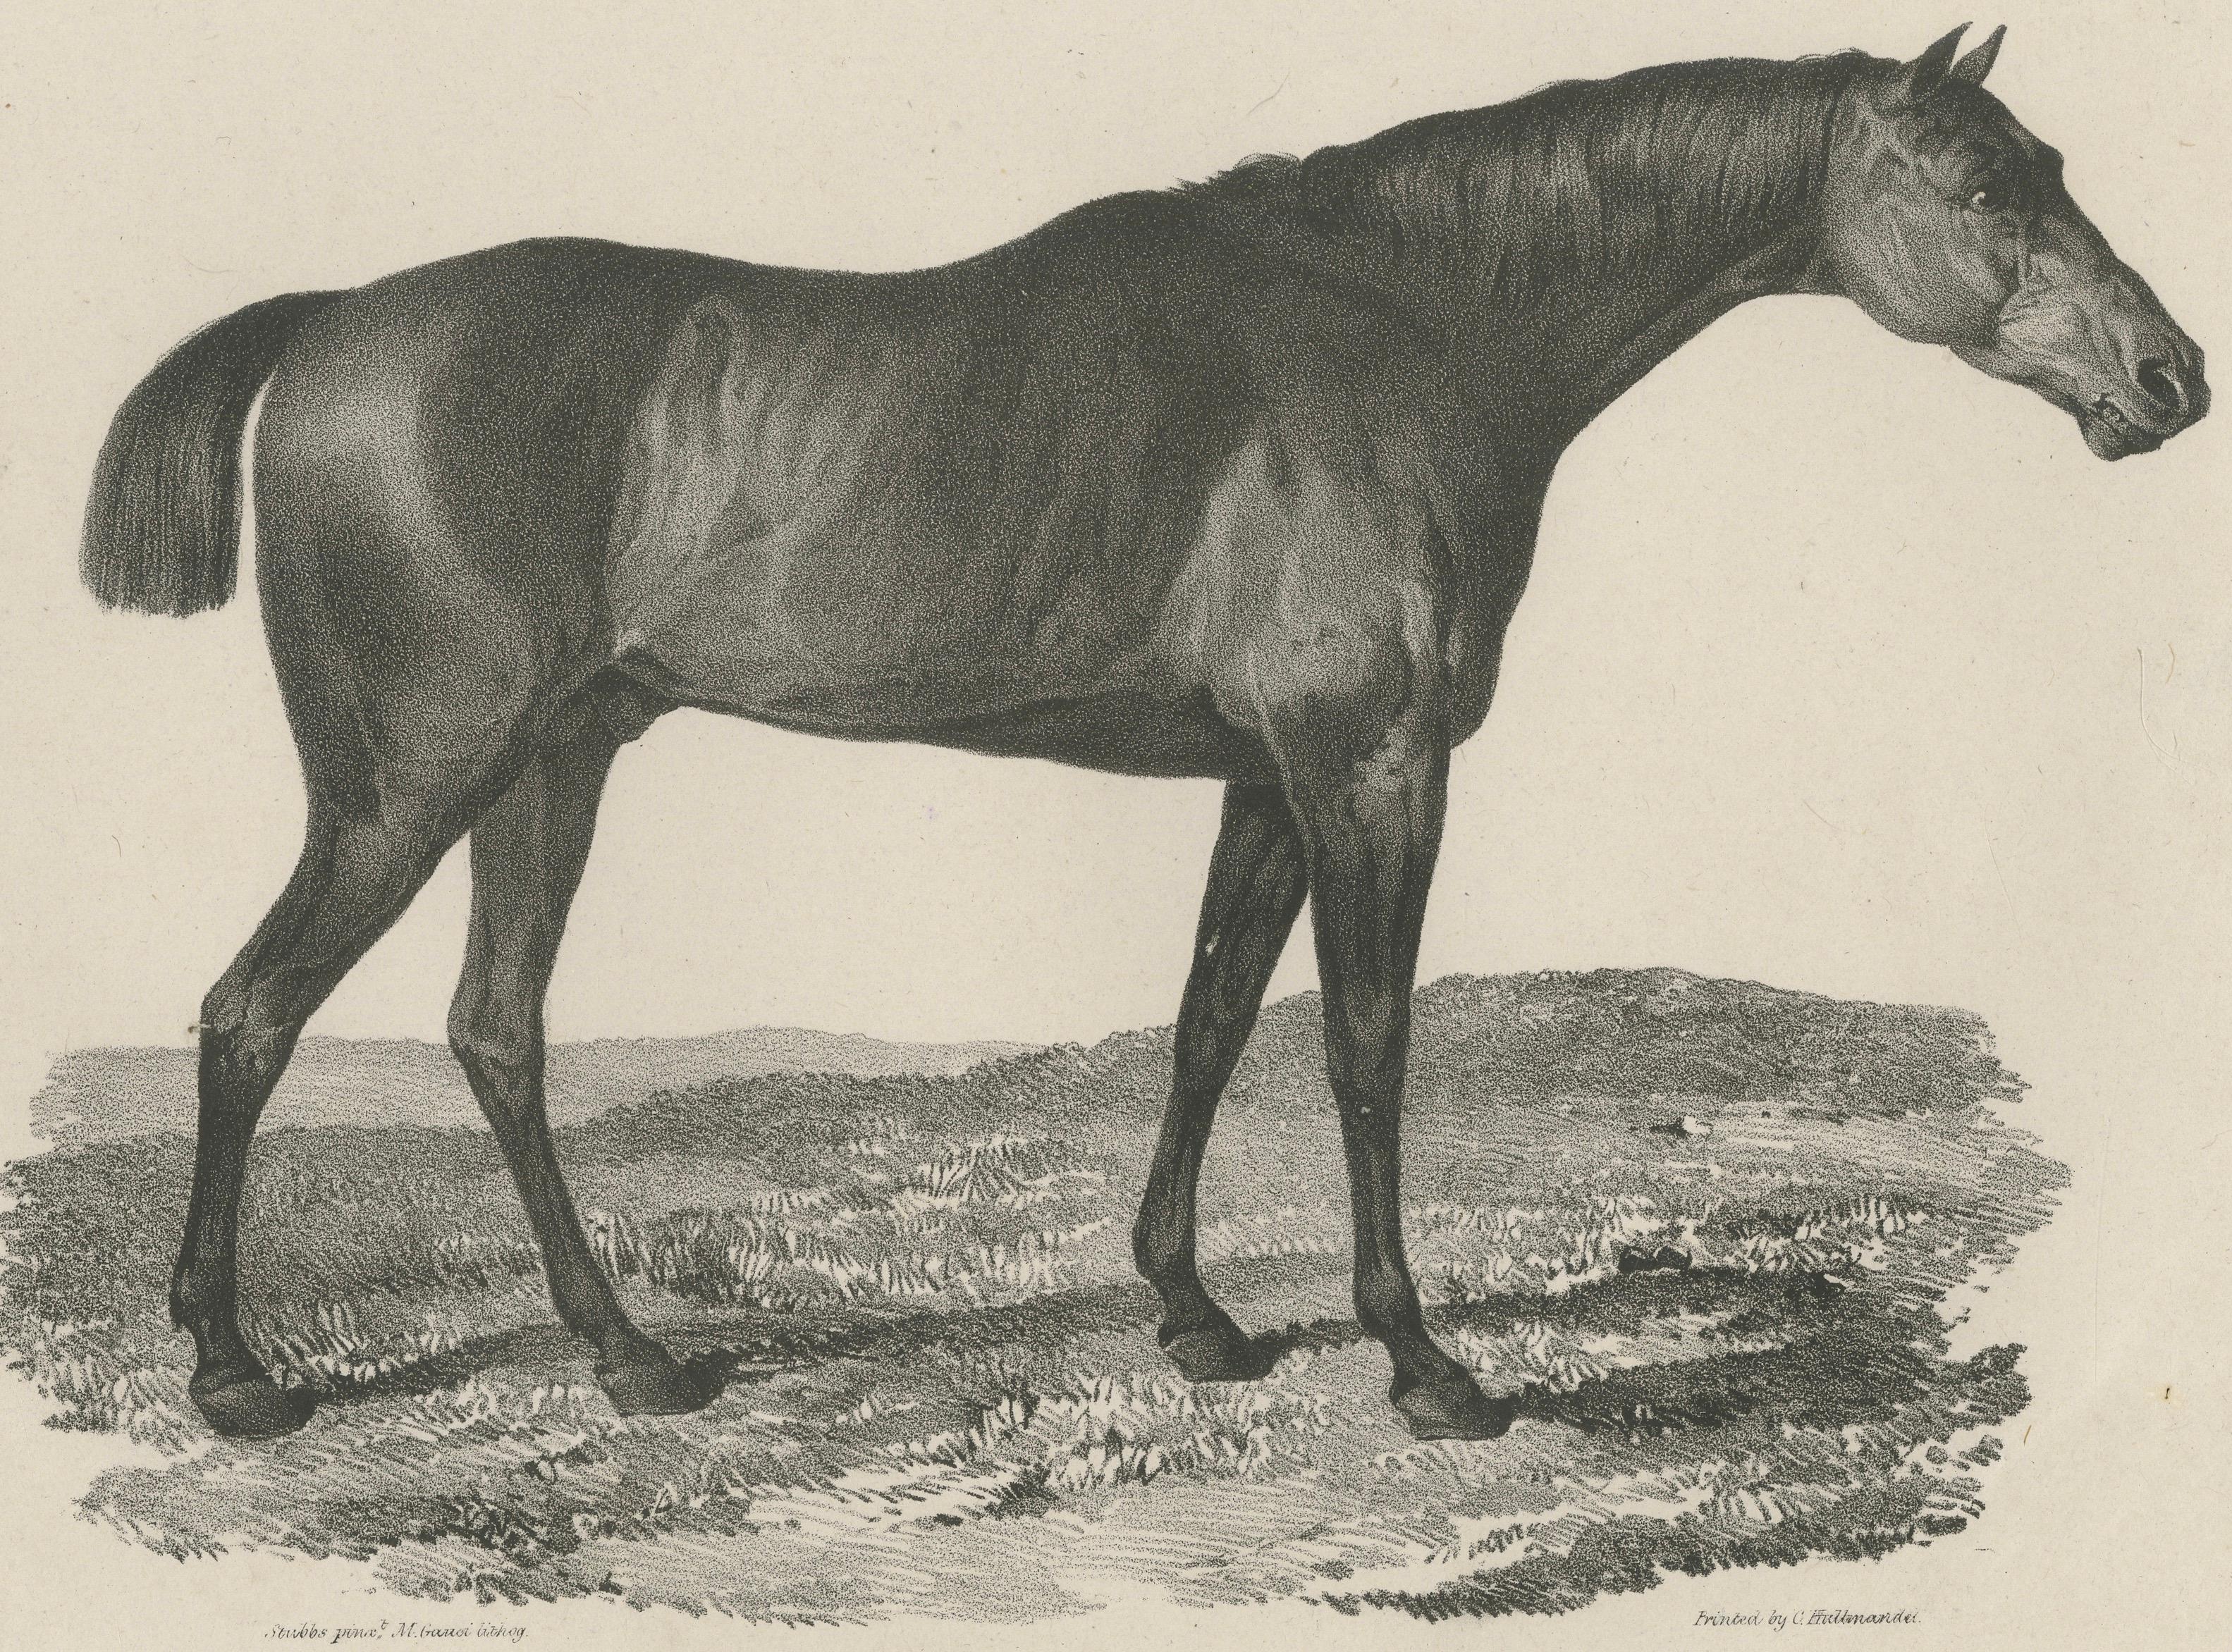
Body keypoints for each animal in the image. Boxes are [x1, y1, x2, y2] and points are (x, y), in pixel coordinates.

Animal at [81, 25, 2205, 1441]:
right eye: (1985, 183)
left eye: (2046, 162)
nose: (2169, 375)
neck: (1403, 324)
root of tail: (330, 322)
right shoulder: (1370, 768)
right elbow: (1363, 1046)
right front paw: (1425, 1363)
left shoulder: (1266, 781)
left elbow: (1206, 1022)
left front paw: (1193, 1313)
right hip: (407, 783)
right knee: (252, 1016)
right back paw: (236, 1370)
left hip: (557, 762)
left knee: (494, 1032)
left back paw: (634, 1354)